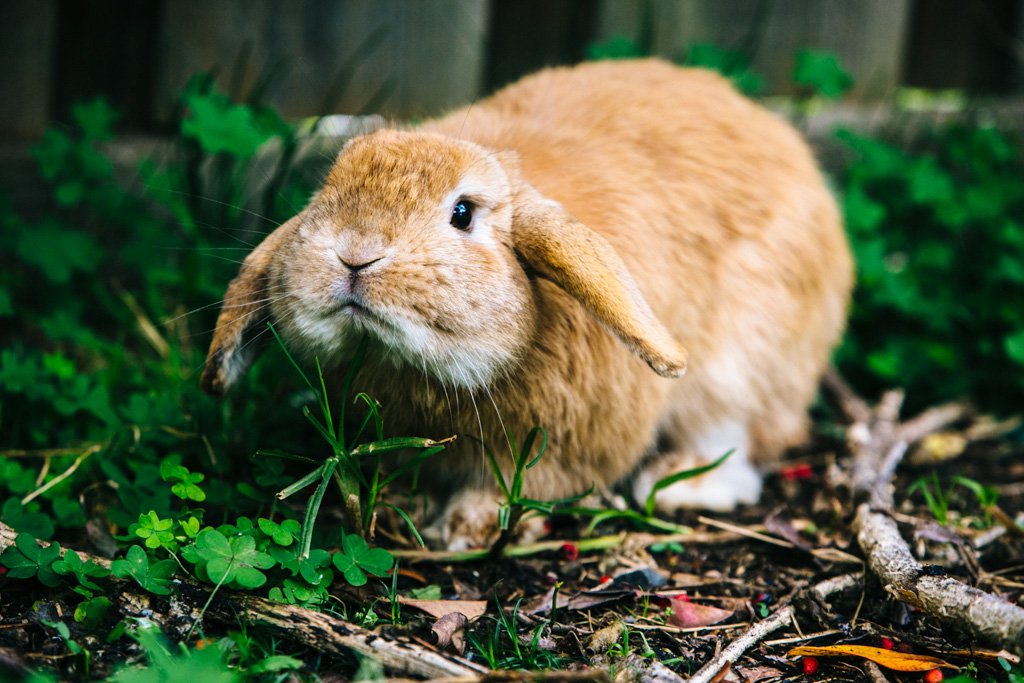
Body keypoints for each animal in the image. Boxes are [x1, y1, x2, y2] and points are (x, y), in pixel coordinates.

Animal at [203, 58, 851, 548]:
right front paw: (395, 506)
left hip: (740, 367)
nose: (355, 254)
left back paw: (675, 485)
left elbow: (524, 488)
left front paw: (468, 528)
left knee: (742, 445)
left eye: (463, 213)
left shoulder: (560, 450)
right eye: (329, 190)